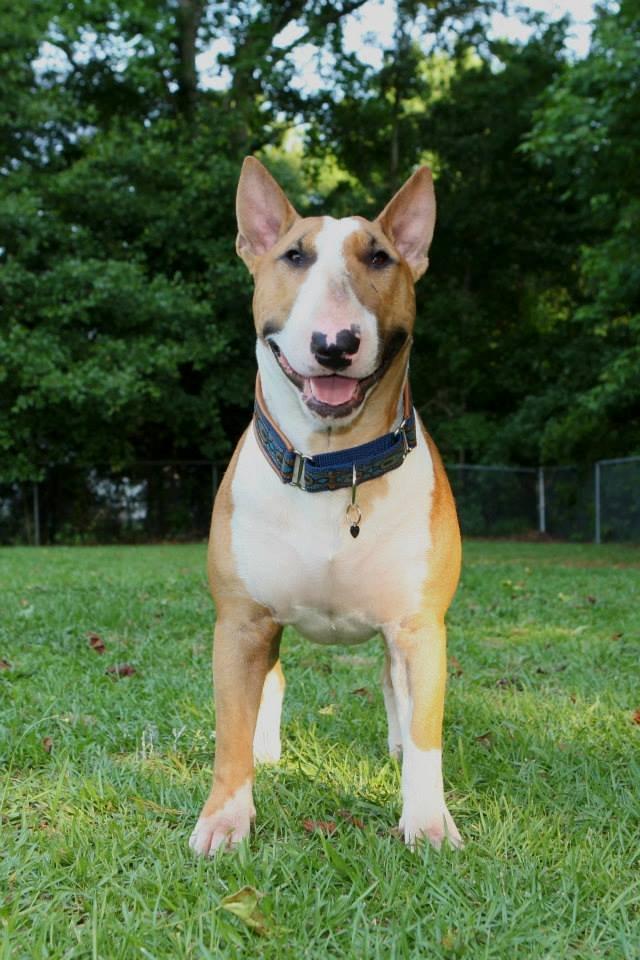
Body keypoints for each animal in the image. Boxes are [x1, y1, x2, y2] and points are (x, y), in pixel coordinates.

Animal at [188, 156, 462, 856]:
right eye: (293, 255)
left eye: (380, 257)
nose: (335, 342)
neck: (336, 470)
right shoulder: (242, 622)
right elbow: (231, 731)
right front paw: (225, 819)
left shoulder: (419, 626)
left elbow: (425, 731)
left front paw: (428, 822)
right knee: (273, 683)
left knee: (393, 690)